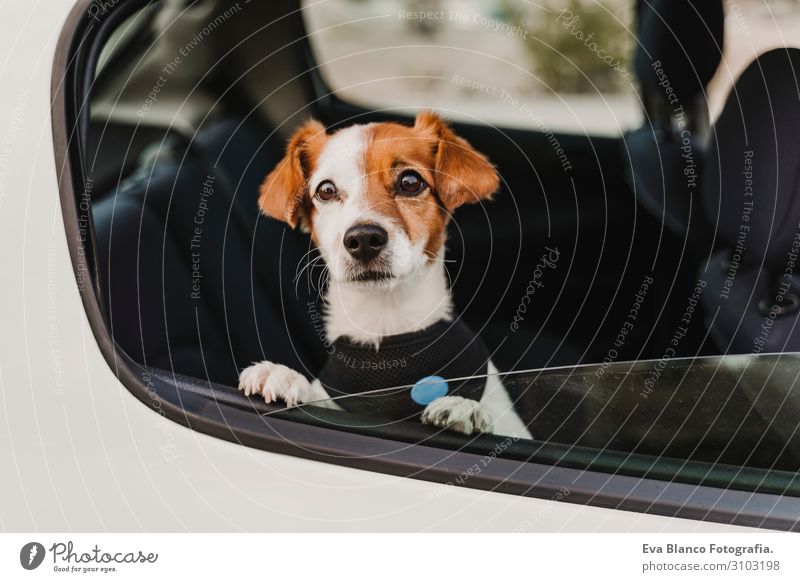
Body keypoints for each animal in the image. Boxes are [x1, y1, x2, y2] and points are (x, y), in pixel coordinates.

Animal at [241, 112, 536, 440]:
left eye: (410, 182)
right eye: (326, 190)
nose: (362, 239)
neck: (385, 318)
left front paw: (464, 405)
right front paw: (286, 377)